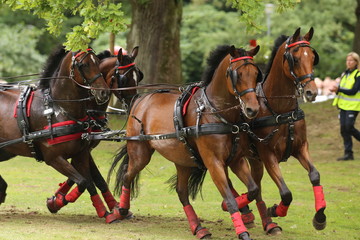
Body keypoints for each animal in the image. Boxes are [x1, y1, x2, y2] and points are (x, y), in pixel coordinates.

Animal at [0, 45, 109, 216]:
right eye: (83, 65)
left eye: (98, 62)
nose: (104, 92)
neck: (58, 108)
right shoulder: (53, 158)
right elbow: (83, 182)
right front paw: (56, 202)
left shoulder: (81, 153)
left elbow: (90, 182)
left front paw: (106, 211)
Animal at [45, 45, 144, 221]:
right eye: (124, 79)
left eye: (138, 77)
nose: (134, 103)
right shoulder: (82, 148)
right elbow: (90, 178)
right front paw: (57, 201)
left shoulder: (83, 148)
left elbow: (90, 177)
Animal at [107, 44, 262, 238]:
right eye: (238, 74)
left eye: (256, 74)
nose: (252, 109)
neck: (217, 112)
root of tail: (139, 101)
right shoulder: (214, 162)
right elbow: (230, 199)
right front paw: (241, 230)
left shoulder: (236, 160)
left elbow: (253, 189)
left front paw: (232, 207)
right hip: (140, 153)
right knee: (127, 175)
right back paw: (121, 209)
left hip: (183, 158)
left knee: (181, 192)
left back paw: (198, 227)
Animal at [225, 27, 326, 234]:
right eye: (295, 59)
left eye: (313, 57)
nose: (312, 92)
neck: (281, 111)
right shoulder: (268, 155)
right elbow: (286, 193)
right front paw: (276, 210)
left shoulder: (301, 147)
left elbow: (315, 175)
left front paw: (320, 216)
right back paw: (246, 212)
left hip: (253, 160)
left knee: (256, 186)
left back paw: (266, 222)